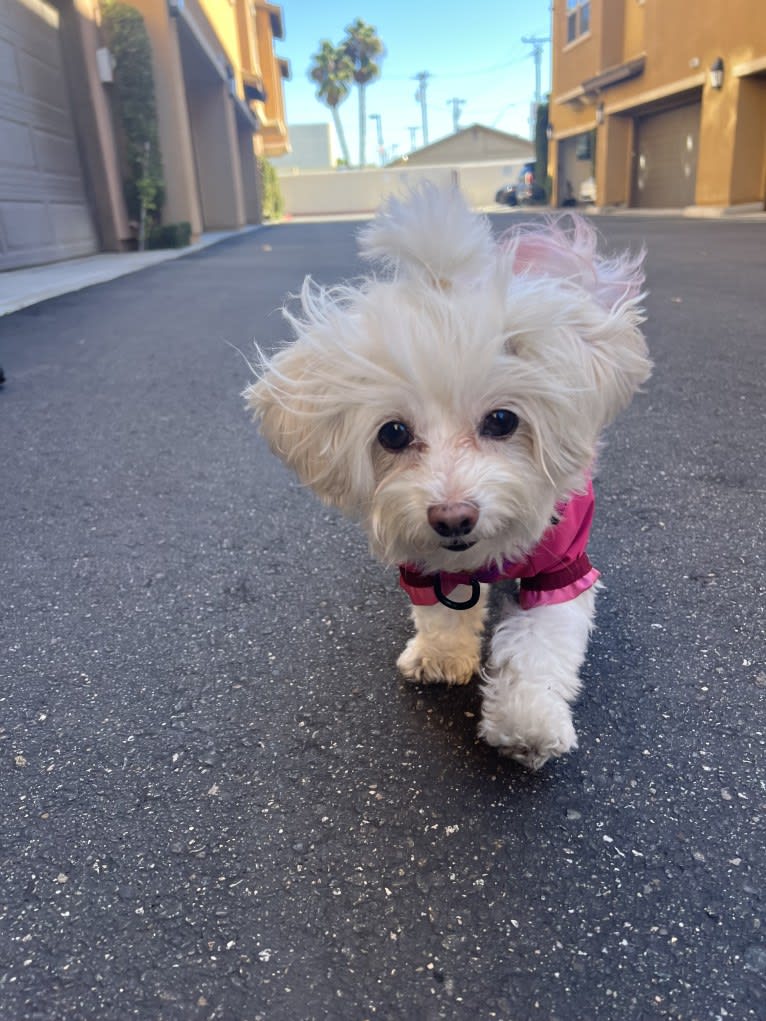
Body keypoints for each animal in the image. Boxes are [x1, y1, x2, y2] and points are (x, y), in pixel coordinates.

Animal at [244, 187, 649, 767]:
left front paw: (527, 720)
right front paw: (441, 656)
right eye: (392, 433)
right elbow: (439, 611)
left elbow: (541, 645)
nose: (453, 517)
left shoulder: (562, 567)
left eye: (502, 420)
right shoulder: (422, 558)